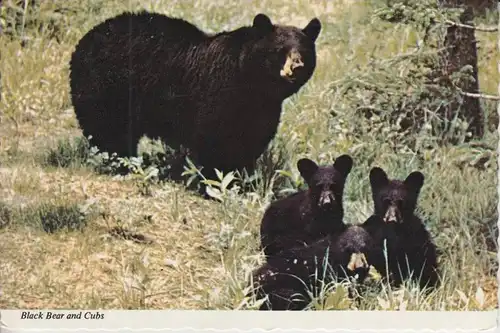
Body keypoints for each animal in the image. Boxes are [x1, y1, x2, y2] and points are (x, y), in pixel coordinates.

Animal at [69, 11, 320, 179]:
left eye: (305, 51)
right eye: (279, 50)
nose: (296, 66)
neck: (252, 86)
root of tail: (87, 36)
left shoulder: (264, 110)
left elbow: (251, 140)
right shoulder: (217, 96)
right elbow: (215, 139)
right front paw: (215, 181)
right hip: (107, 88)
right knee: (109, 131)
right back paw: (119, 162)